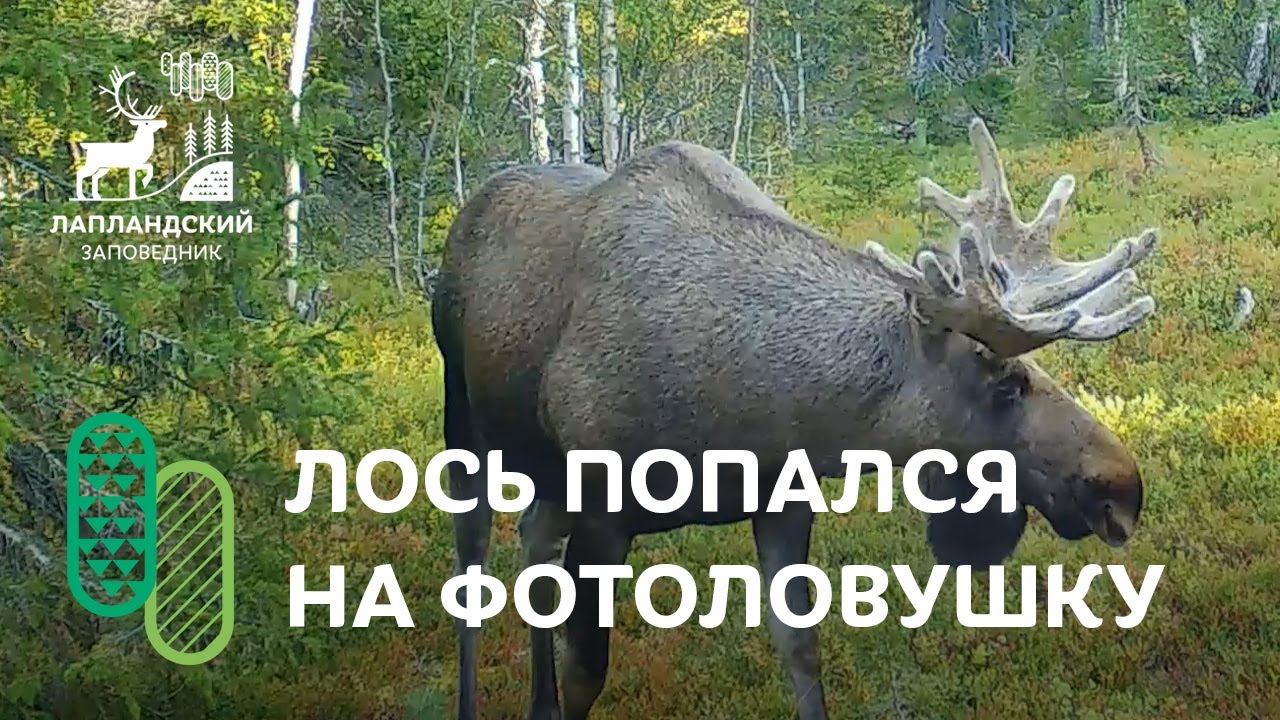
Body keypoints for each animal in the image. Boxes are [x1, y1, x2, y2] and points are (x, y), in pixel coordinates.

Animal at [76, 68, 166, 200]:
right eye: (146, 123)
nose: (163, 123)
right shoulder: (134, 163)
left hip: (103, 166)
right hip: (94, 163)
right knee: (82, 173)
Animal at [432, 119, 1159, 720]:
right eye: (1004, 381)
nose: (1122, 486)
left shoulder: (783, 502)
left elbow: (801, 648)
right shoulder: (604, 511)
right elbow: (587, 672)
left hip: (544, 471)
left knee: (532, 539)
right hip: (463, 416)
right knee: (473, 554)